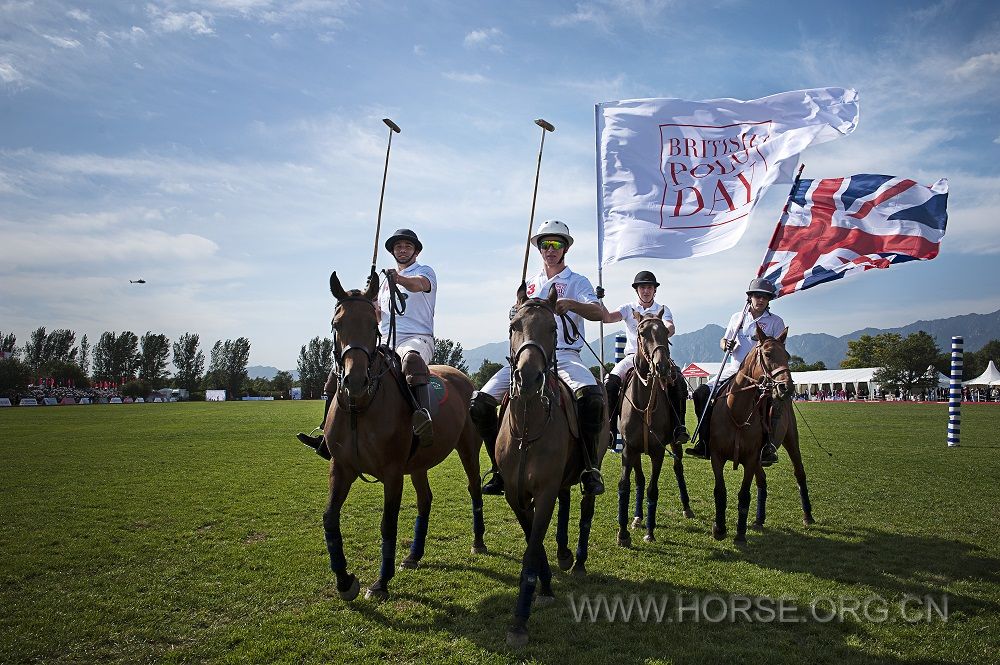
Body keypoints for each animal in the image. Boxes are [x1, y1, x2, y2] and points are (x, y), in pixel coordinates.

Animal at [322, 270, 486, 600]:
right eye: (337, 324)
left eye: (374, 325)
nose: (355, 381)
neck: (361, 406)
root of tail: (462, 377)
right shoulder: (341, 467)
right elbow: (330, 518)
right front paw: (345, 581)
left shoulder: (393, 471)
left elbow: (388, 524)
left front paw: (380, 583)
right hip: (420, 460)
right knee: (425, 499)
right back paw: (413, 555)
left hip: (468, 447)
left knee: (474, 487)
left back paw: (478, 543)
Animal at [498, 282, 608, 644]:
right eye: (513, 326)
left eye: (552, 328)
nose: (528, 377)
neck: (527, 426)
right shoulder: (515, 494)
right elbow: (532, 536)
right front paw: (545, 586)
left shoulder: (543, 491)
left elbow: (532, 548)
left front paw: (519, 620)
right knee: (566, 499)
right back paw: (563, 553)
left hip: (593, 459)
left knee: (585, 506)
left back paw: (579, 561)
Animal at [612, 308, 692, 548]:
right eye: (642, 332)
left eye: (665, 330)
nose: (662, 366)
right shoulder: (629, 449)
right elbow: (627, 484)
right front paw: (624, 533)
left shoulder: (657, 451)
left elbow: (652, 489)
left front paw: (650, 531)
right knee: (639, 480)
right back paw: (637, 517)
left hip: (674, 443)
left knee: (678, 467)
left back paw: (687, 508)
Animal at [696, 322, 812, 544]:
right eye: (767, 353)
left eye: (787, 354)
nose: (787, 387)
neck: (737, 412)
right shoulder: (716, 456)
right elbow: (720, 491)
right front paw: (719, 528)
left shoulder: (750, 458)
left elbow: (744, 494)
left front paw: (740, 534)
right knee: (763, 480)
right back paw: (759, 518)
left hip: (791, 439)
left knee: (799, 472)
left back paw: (808, 516)